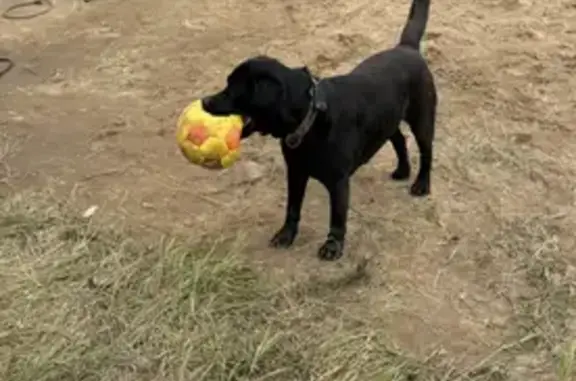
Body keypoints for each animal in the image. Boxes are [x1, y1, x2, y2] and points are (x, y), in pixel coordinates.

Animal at [205, 0, 434, 260]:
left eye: (233, 90)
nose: (205, 101)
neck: (310, 119)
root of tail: (407, 48)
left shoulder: (338, 182)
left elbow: (337, 217)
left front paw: (333, 246)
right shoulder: (296, 172)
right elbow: (292, 208)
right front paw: (286, 235)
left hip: (422, 120)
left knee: (426, 152)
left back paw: (421, 184)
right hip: (388, 119)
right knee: (399, 139)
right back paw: (403, 170)